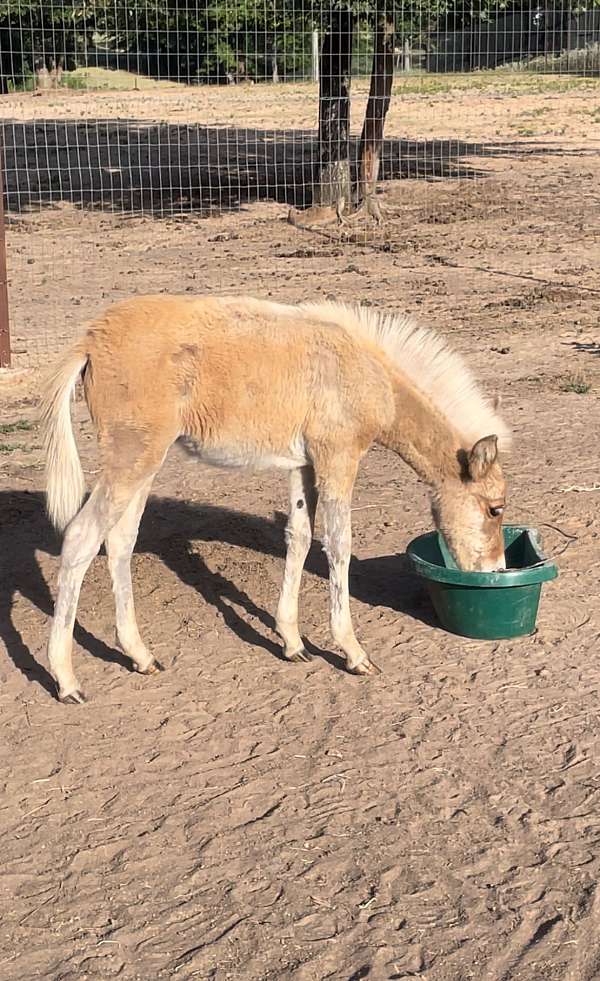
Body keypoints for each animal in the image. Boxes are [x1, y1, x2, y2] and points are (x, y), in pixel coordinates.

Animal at [41, 295, 510, 703]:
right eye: (495, 508)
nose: (495, 571)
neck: (364, 372)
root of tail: (91, 341)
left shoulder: (302, 466)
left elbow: (298, 538)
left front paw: (292, 642)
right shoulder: (338, 458)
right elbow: (338, 546)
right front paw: (353, 652)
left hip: (144, 464)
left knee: (120, 541)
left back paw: (140, 656)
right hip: (132, 457)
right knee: (81, 538)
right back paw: (66, 680)